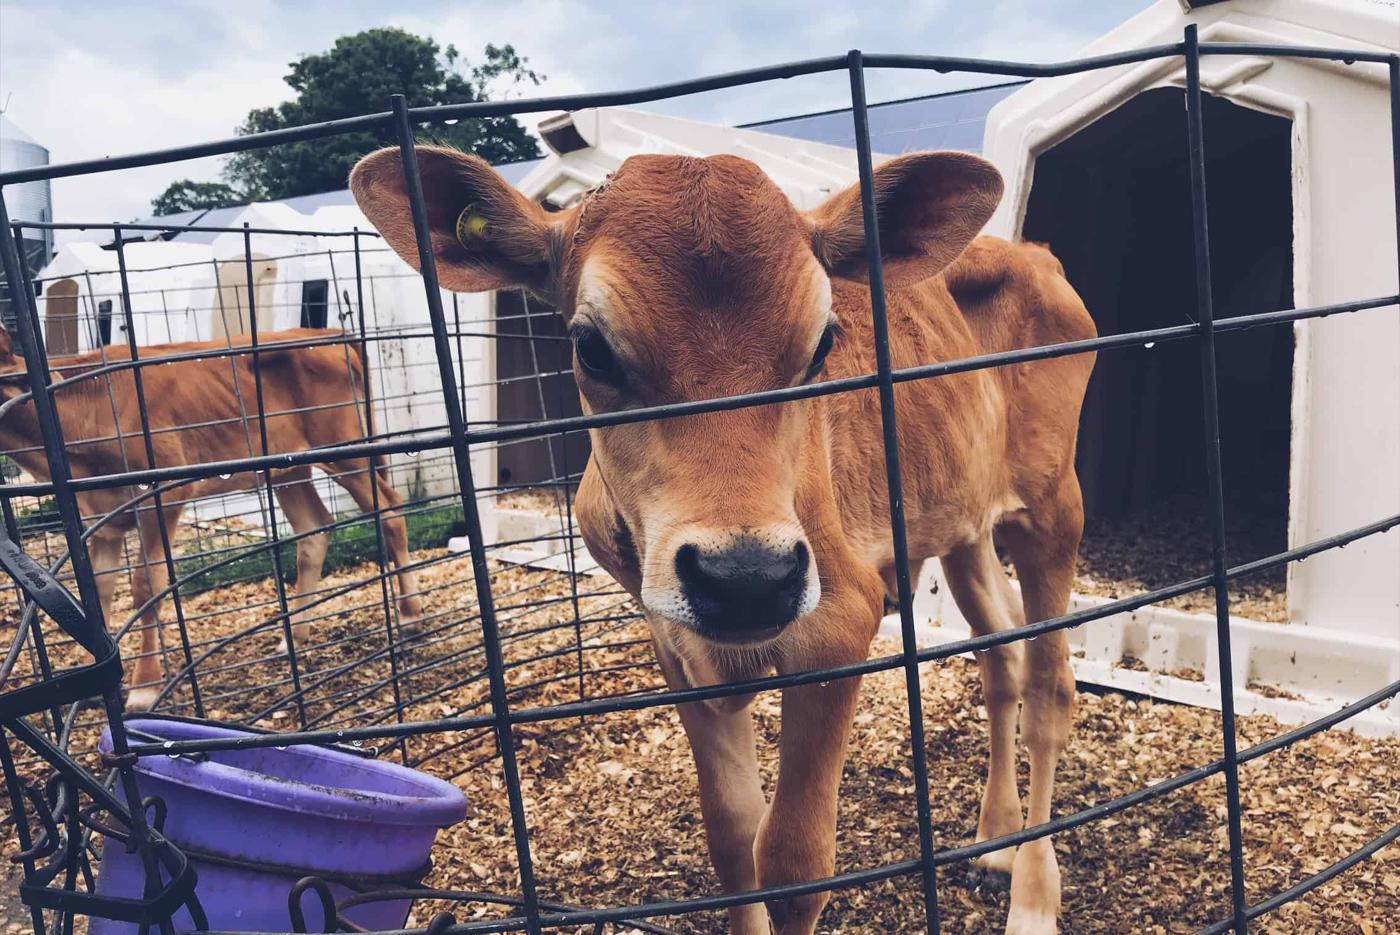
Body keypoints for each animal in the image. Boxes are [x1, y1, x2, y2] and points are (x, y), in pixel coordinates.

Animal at [0, 326, 423, 712]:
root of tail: (327, 333)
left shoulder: (164, 495)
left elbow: (146, 586)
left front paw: (144, 687)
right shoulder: (101, 517)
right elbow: (98, 591)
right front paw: (98, 679)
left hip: (344, 450)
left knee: (390, 509)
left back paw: (409, 615)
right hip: (288, 468)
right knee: (314, 529)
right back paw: (294, 637)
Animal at [351, 145, 1095, 935]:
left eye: (823, 343)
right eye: (591, 348)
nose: (747, 578)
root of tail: (1031, 252)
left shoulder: (840, 619)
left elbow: (794, 864)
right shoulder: (674, 642)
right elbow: (734, 835)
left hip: (1055, 505)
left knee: (1051, 686)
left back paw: (1033, 898)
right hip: (962, 525)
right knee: (1002, 654)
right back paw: (994, 844)